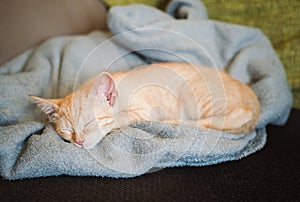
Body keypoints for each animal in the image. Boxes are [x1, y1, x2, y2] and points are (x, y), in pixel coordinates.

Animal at [29, 62, 260, 149]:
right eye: (67, 131)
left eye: (89, 123)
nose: (79, 142)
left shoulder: (142, 108)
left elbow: (123, 117)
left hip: (196, 96)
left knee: (241, 114)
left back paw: (179, 121)